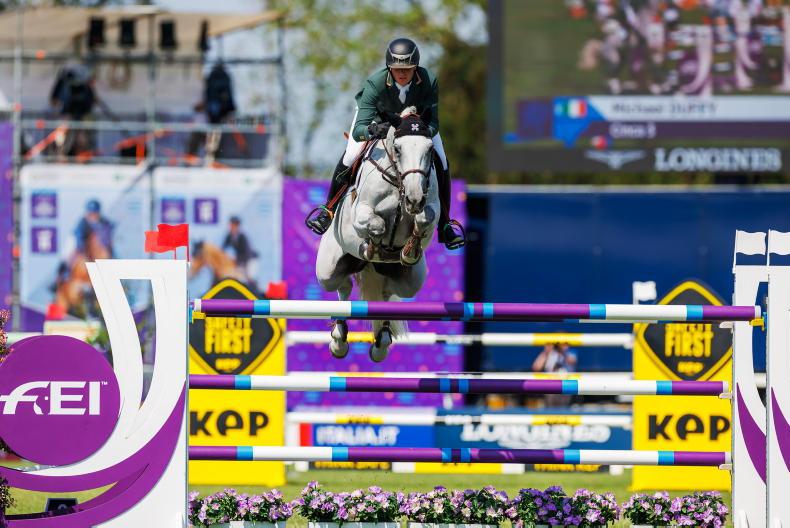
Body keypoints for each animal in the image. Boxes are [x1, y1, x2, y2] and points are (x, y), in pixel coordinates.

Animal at [315, 107, 440, 362]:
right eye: (398, 149)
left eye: (430, 149)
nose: (414, 199)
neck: (397, 182)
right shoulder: (360, 212)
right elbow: (377, 224)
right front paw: (372, 245)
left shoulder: (430, 208)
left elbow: (425, 219)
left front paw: (409, 248)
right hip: (327, 271)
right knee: (343, 287)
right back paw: (338, 340)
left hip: (411, 282)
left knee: (386, 293)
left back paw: (381, 341)